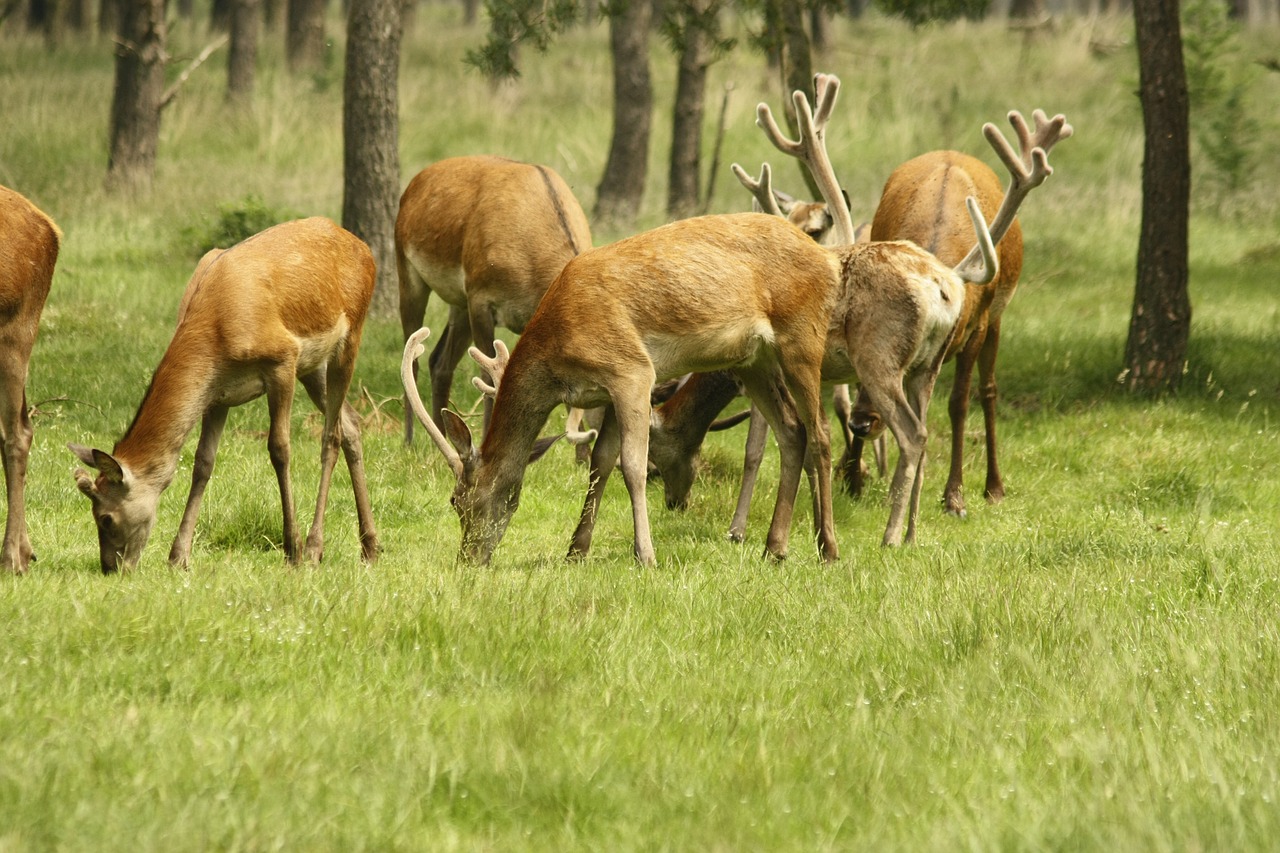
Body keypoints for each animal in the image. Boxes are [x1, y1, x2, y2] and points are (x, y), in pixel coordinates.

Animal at [70, 217, 376, 571]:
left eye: (105, 517)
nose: (110, 568)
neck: (216, 333)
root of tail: (363, 248)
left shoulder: (282, 359)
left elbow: (279, 449)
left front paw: (292, 550)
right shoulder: (217, 394)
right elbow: (203, 462)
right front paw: (178, 556)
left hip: (350, 335)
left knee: (332, 435)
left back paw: (315, 548)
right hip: (313, 366)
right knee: (350, 423)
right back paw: (371, 546)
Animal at [396, 154, 591, 445]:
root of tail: (412, 185)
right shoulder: (481, 297)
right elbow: (488, 377)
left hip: (460, 303)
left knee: (439, 361)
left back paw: (440, 437)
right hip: (409, 273)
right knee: (413, 358)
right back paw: (409, 440)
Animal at [844, 109, 1075, 514]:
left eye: (907, 348)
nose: (860, 423)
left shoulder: (977, 325)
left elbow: (958, 403)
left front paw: (954, 496)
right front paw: (866, 482)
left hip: (997, 318)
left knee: (989, 390)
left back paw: (994, 486)